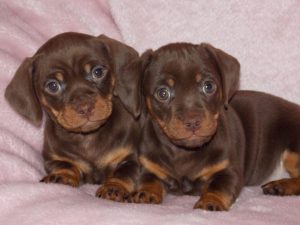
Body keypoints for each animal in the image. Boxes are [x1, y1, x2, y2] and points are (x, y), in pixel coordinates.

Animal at [4, 32, 141, 202]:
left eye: (98, 72)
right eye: (53, 86)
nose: (84, 107)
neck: (88, 137)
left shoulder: (131, 159)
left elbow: (122, 174)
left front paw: (114, 187)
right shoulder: (55, 159)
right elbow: (66, 166)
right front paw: (62, 177)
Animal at [132, 42, 300, 211]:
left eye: (208, 86)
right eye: (162, 93)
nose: (192, 121)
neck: (184, 152)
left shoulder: (228, 171)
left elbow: (218, 188)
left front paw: (210, 202)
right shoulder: (150, 169)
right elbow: (148, 181)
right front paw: (145, 193)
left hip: (292, 152)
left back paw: (281, 185)